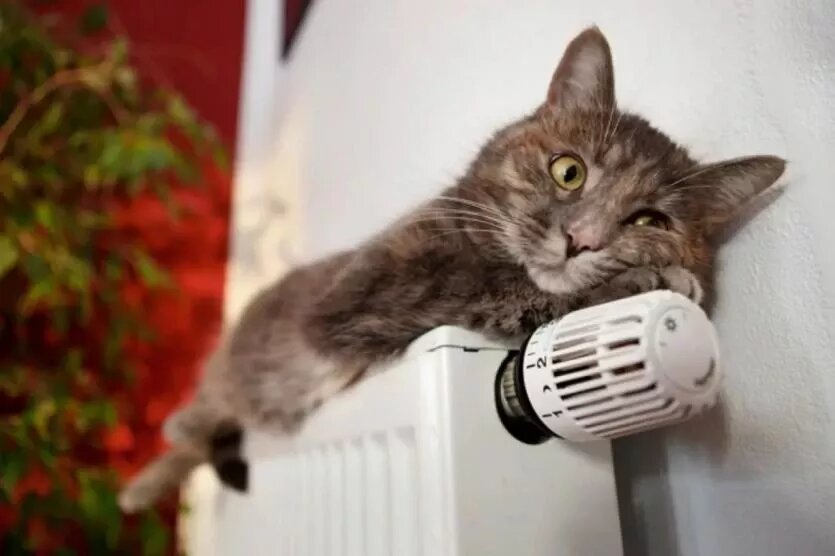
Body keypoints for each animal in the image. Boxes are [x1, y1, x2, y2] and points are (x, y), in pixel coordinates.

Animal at [118, 26, 785, 513]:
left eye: (651, 220)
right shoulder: (369, 291)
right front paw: (645, 282)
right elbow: (496, 286)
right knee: (199, 422)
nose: (582, 240)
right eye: (568, 170)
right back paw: (152, 469)